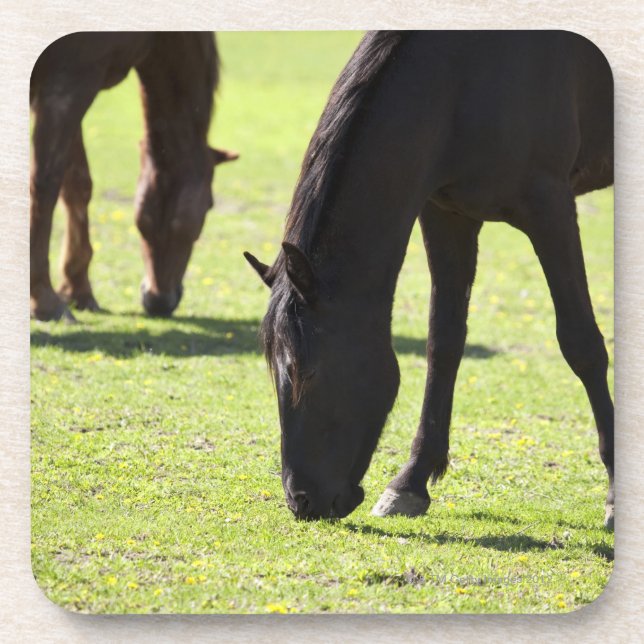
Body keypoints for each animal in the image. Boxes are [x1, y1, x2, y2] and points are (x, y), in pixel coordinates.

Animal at [30, 32, 238, 321]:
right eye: (209, 205)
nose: (158, 302)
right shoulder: (69, 83)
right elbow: (46, 184)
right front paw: (45, 301)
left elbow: (77, 185)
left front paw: (78, 289)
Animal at [244, 31, 614, 528]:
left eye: (307, 371)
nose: (300, 501)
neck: (461, 80)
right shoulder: (446, 214)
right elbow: (444, 343)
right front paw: (410, 483)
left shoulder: (550, 206)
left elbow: (582, 344)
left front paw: (615, 496)